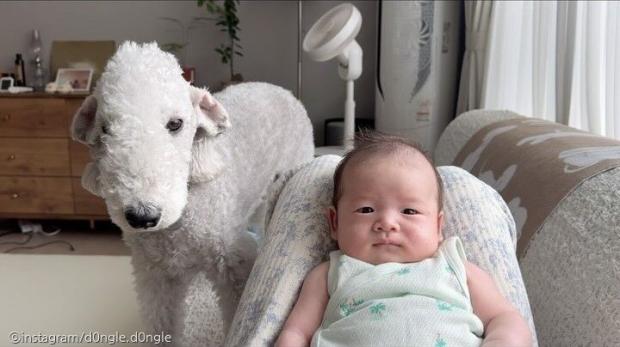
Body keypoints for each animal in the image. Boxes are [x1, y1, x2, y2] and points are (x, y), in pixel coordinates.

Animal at [71, 42, 314, 346]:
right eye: (105, 129)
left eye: (175, 123)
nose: (142, 216)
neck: (179, 222)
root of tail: (283, 90)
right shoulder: (156, 275)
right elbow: (161, 324)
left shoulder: (232, 263)